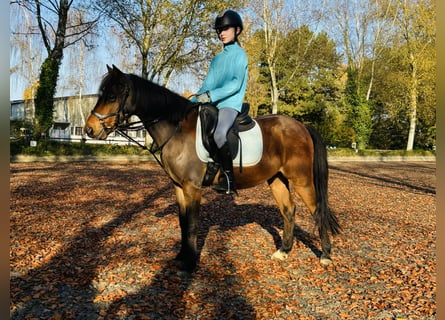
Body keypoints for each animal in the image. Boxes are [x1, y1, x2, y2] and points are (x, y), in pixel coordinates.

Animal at [84, 64, 340, 272]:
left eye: (113, 95)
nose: (89, 129)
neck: (176, 128)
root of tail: (302, 126)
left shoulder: (192, 188)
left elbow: (193, 224)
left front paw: (190, 263)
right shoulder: (179, 187)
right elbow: (183, 222)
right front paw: (182, 256)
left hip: (301, 179)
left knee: (318, 210)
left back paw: (326, 255)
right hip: (277, 178)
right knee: (288, 210)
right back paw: (284, 251)